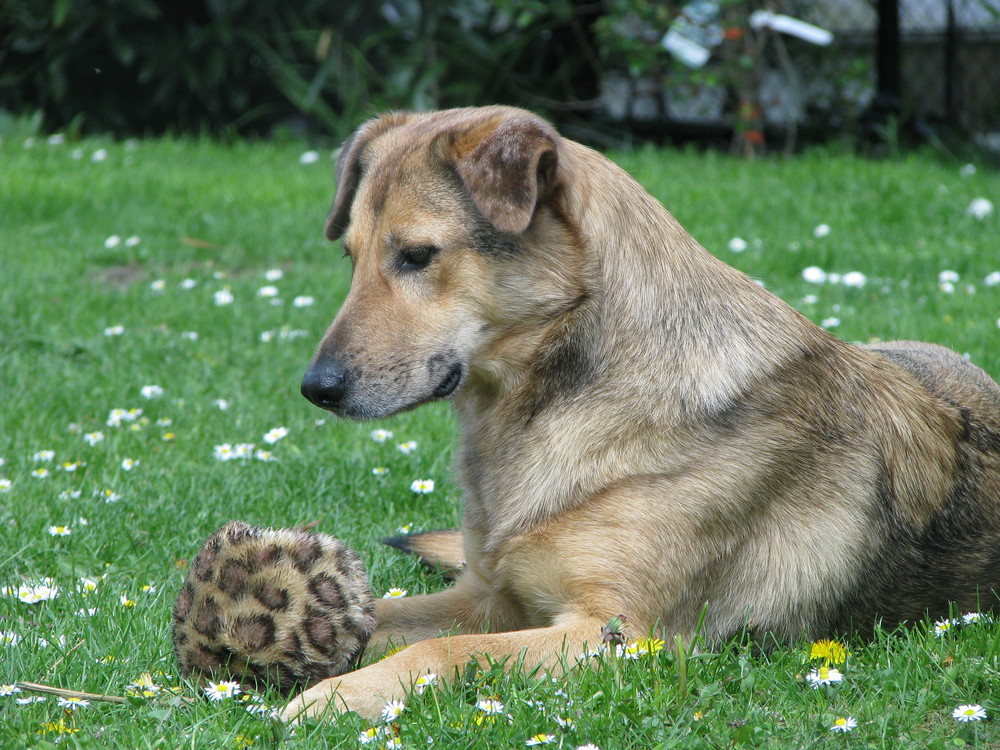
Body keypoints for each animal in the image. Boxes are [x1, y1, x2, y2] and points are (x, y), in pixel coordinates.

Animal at [280, 107, 1000, 724]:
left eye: (418, 255)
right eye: (350, 256)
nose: (316, 389)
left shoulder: (621, 634)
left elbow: (440, 650)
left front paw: (334, 696)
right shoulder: (486, 597)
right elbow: (383, 619)